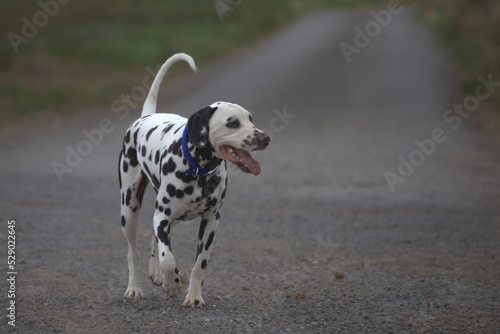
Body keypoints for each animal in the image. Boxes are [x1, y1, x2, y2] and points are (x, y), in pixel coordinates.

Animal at [118, 54, 270, 308]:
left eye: (250, 119)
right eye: (232, 122)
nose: (265, 138)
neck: (200, 171)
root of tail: (145, 116)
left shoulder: (210, 222)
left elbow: (199, 264)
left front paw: (194, 295)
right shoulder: (163, 216)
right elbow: (168, 258)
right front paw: (171, 284)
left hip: (176, 218)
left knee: (153, 236)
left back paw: (155, 273)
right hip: (129, 208)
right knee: (132, 251)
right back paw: (134, 288)